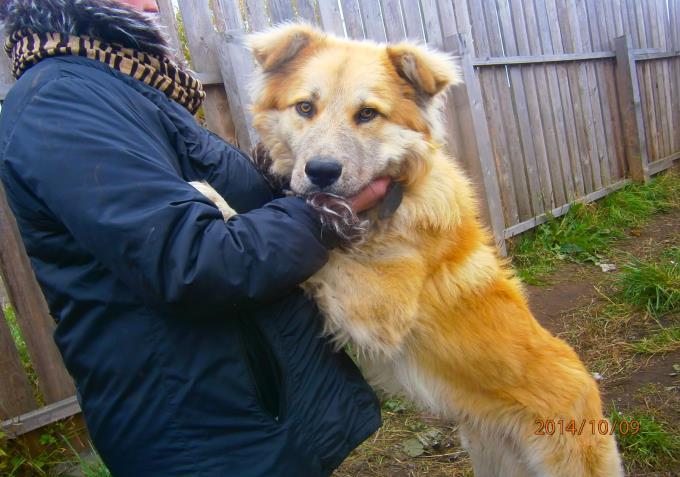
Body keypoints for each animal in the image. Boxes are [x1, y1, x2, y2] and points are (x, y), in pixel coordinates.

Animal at [194, 24, 624, 476]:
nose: (321, 172)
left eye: (368, 114)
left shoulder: (380, 308)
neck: (393, 200)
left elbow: (317, 255)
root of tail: (588, 384)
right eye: (305, 107)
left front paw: (215, 197)